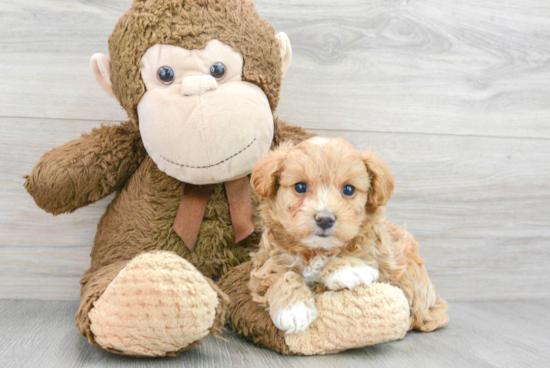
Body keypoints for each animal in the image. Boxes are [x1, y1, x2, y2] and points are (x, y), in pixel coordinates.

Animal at [250, 137, 448, 334]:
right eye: (300, 187)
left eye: (348, 190)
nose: (325, 219)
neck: (318, 250)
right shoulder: (268, 259)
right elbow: (279, 273)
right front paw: (293, 309)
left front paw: (347, 270)